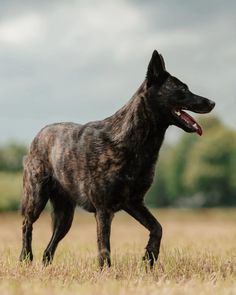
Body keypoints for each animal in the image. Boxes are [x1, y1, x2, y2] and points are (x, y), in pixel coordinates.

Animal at [19, 50, 216, 268]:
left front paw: (150, 257)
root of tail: (38, 135)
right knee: (27, 224)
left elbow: (157, 228)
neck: (135, 142)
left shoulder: (134, 202)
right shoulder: (104, 209)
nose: (212, 103)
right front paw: (107, 271)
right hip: (36, 198)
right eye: (182, 88)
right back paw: (25, 257)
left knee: (50, 246)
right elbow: (104, 247)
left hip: (65, 216)